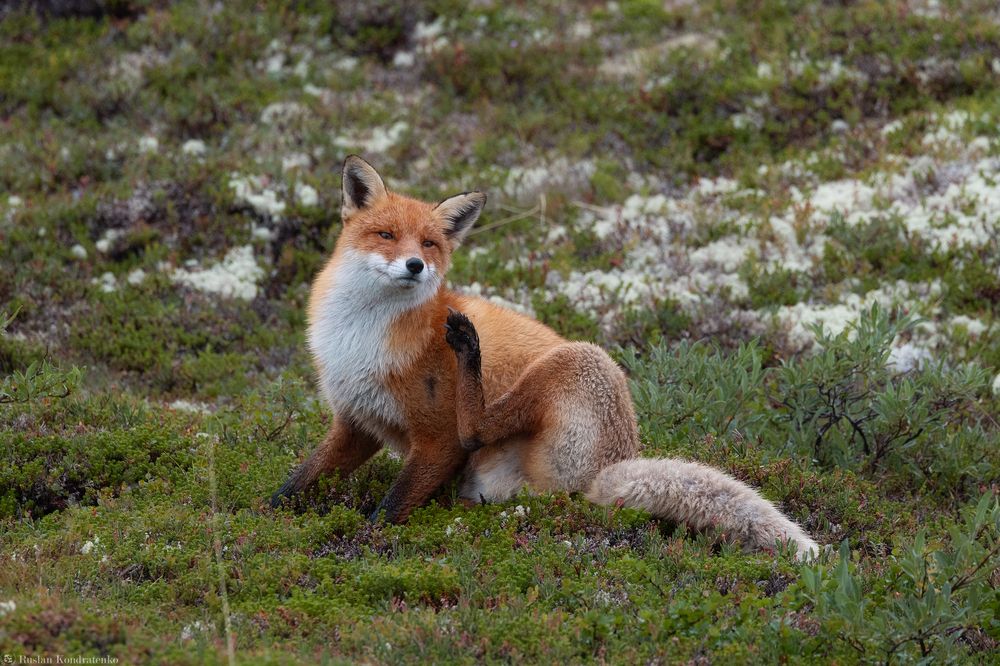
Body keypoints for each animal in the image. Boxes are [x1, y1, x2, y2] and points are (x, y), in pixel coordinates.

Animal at [270, 155, 820, 560]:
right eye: (385, 235)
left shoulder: (436, 439)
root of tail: (608, 471)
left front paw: (367, 541)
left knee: (478, 429)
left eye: (428, 243)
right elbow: (298, 481)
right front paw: (266, 516)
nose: (415, 265)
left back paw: (469, 353)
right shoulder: (357, 422)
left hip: (577, 362)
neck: (362, 336)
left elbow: (391, 506)